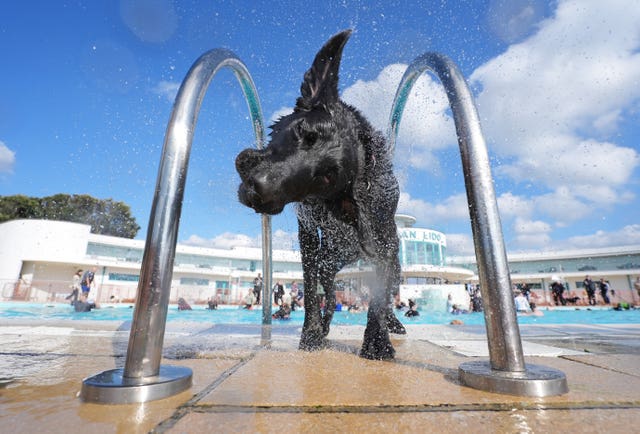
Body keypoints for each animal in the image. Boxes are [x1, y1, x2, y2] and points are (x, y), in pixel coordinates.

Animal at [235, 28, 404, 360]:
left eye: (326, 176)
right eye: (301, 131)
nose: (259, 187)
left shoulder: (384, 244)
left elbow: (378, 299)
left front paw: (376, 342)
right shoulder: (309, 237)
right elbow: (312, 292)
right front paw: (312, 335)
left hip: (392, 262)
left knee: (387, 291)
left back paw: (393, 323)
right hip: (330, 259)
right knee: (328, 291)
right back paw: (325, 326)